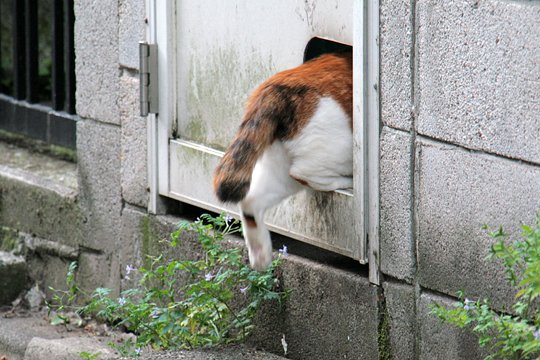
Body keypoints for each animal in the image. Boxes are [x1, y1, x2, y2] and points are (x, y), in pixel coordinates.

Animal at [213, 52, 352, 270]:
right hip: (338, 145)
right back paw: (348, 182)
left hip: (278, 168)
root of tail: (275, 87)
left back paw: (260, 255)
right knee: (304, 172)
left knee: (251, 201)